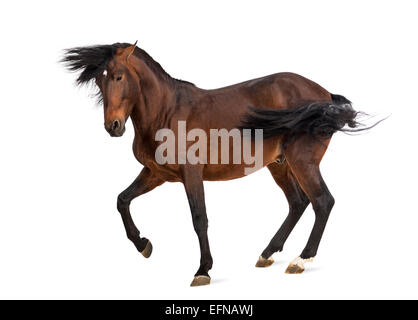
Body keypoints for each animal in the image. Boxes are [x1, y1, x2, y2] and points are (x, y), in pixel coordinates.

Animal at [61, 42, 370, 284]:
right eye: (99, 81)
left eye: (118, 76)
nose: (112, 127)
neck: (166, 111)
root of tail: (325, 96)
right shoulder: (156, 173)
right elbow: (122, 200)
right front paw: (143, 245)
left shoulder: (191, 174)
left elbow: (200, 218)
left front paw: (203, 270)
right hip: (280, 164)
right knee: (298, 202)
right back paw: (267, 253)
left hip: (302, 161)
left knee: (322, 201)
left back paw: (301, 260)